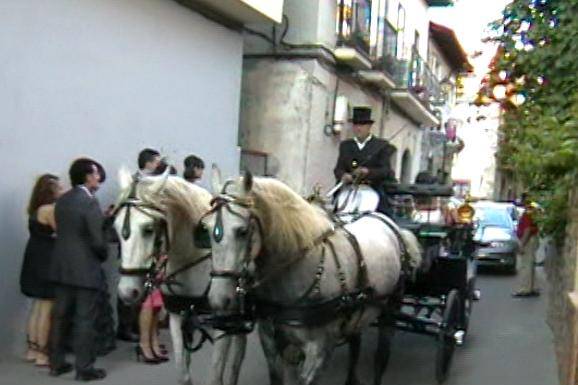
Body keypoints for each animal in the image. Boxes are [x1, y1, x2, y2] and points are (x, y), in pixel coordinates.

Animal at [115, 170, 245, 384]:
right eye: (116, 228)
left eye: (148, 229)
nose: (127, 291)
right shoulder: (178, 317)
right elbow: (183, 374)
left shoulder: (223, 322)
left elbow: (215, 375)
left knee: (238, 353)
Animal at [202, 172, 418, 384]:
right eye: (207, 230)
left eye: (243, 231)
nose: (219, 299)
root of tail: (386, 221)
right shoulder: (272, 344)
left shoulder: (319, 352)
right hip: (360, 311)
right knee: (355, 344)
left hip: (390, 308)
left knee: (381, 358)